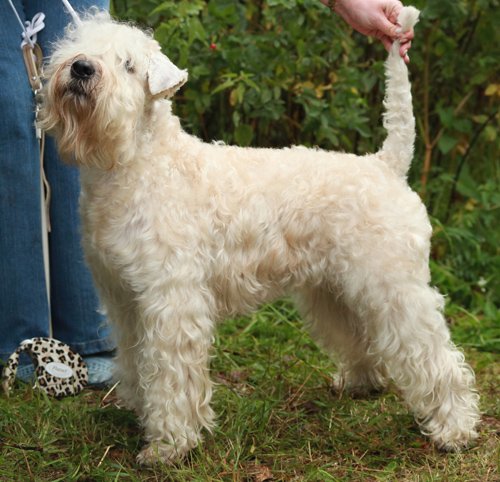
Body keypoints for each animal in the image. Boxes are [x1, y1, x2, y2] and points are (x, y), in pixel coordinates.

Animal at [41, 4, 478, 464]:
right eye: (76, 44)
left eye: (128, 64)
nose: (82, 68)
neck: (137, 165)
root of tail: (385, 164)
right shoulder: (124, 299)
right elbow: (136, 360)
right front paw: (141, 411)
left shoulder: (170, 300)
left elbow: (169, 372)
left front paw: (168, 445)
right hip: (337, 289)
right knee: (362, 336)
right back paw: (363, 382)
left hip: (394, 287)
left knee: (438, 356)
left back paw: (455, 430)